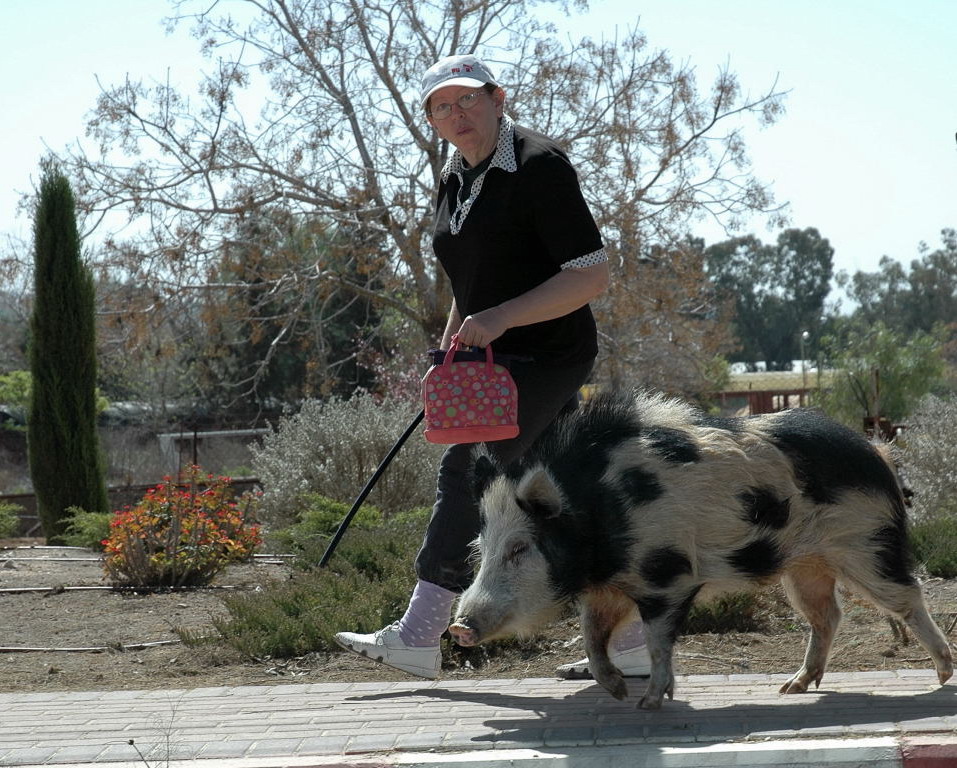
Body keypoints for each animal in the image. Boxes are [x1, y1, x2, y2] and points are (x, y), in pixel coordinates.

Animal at [450, 392, 956, 712]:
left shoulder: (667, 573)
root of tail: (877, 451)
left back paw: (942, 676)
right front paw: (617, 692)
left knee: (908, 598)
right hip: (805, 565)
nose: (459, 626)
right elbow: (593, 640)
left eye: (520, 547)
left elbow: (657, 641)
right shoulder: (608, 588)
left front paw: (649, 704)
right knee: (827, 615)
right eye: (481, 545)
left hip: (867, 543)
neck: (603, 508)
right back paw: (791, 689)